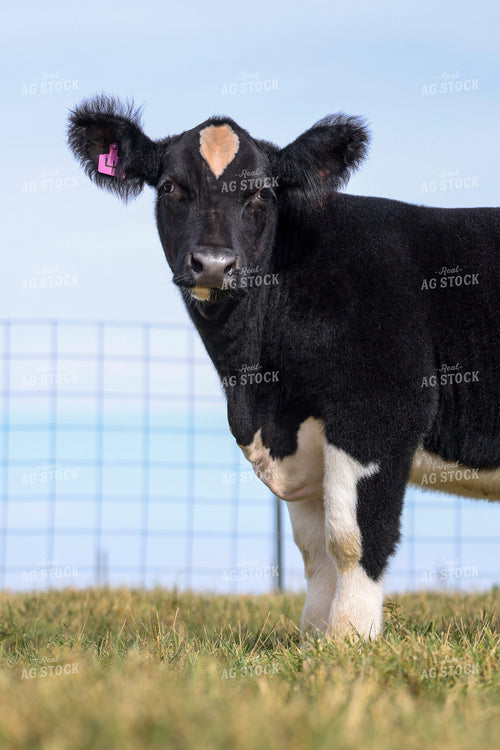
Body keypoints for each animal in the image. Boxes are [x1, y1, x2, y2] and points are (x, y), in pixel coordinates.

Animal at [67, 95, 500, 639]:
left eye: (260, 194)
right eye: (169, 187)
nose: (213, 263)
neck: (258, 394)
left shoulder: (379, 413)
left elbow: (353, 538)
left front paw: (350, 636)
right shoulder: (303, 439)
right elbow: (314, 552)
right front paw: (314, 637)